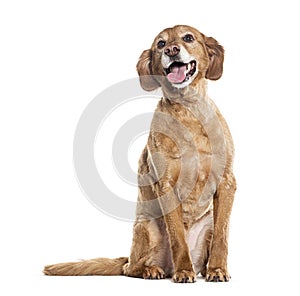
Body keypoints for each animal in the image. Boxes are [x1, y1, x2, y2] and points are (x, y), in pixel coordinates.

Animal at [44, 26, 237, 284]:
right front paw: (183, 270)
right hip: (147, 227)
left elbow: (222, 236)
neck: (188, 110)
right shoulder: (166, 185)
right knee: (132, 267)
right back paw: (153, 270)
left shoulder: (227, 182)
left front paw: (216, 269)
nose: (171, 50)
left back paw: (201, 269)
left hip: (207, 222)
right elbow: (177, 236)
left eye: (188, 37)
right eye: (160, 44)